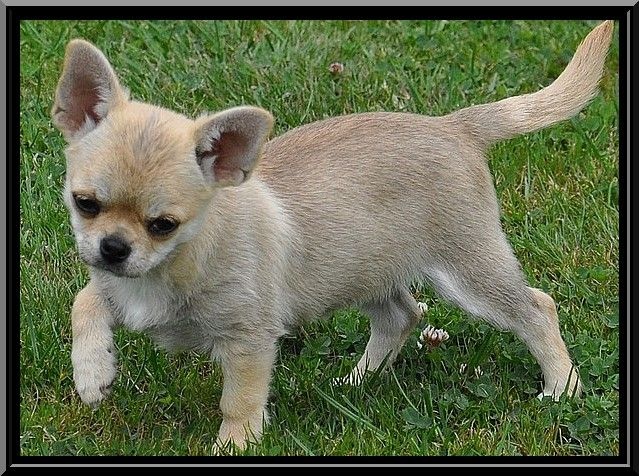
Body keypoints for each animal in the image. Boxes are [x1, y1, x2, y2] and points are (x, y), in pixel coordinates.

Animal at [51, 20, 614, 452]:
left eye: (163, 225)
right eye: (85, 203)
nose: (113, 248)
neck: (167, 267)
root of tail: (454, 127)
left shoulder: (249, 341)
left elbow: (239, 401)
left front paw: (234, 446)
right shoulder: (111, 285)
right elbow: (84, 301)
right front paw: (92, 373)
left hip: (469, 270)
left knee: (535, 308)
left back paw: (561, 386)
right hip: (362, 270)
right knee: (402, 316)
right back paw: (359, 379)